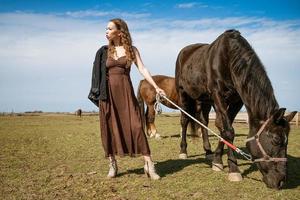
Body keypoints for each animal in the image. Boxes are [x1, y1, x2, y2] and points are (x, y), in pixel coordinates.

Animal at [175, 29, 296, 189]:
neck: (228, 58)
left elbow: (224, 128)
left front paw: (217, 160)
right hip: (183, 93)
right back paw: (183, 151)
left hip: (205, 100)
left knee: (204, 122)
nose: (281, 181)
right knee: (184, 121)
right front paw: (233, 169)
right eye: (276, 140)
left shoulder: (236, 100)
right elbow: (228, 131)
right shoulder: (218, 95)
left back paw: (208, 151)